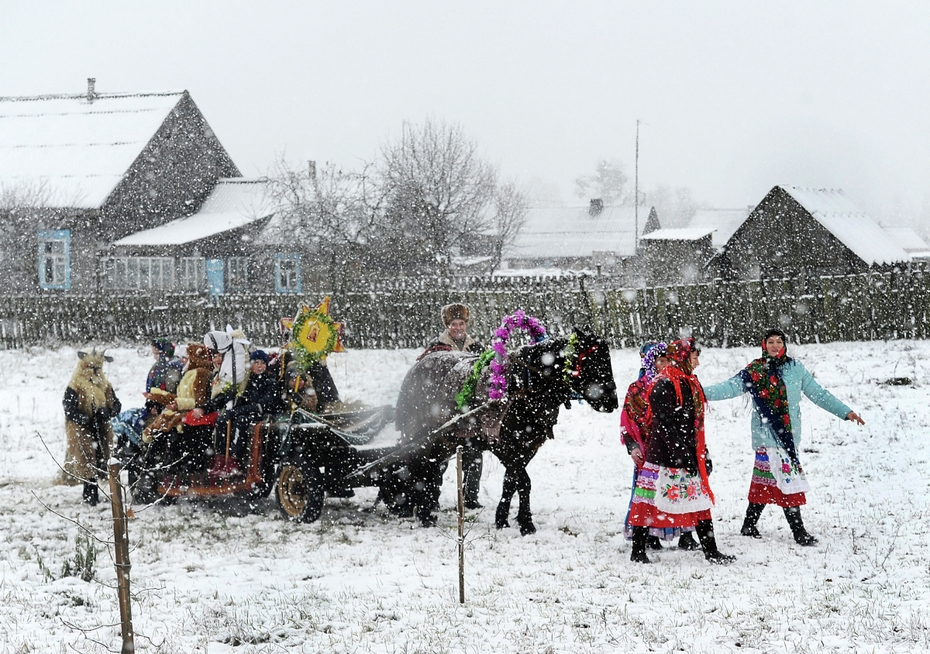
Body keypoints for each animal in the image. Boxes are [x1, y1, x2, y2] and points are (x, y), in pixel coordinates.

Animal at [392, 330, 616, 536]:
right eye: (592, 361)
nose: (612, 401)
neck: (522, 385)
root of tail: (418, 365)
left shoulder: (527, 446)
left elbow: (511, 482)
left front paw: (503, 519)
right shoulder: (504, 446)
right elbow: (523, 481)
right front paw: (526, 524)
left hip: (443, 441)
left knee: (431, 468)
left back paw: (425, 511)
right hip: (417, 435)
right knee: (419, 467)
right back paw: (420, 512)